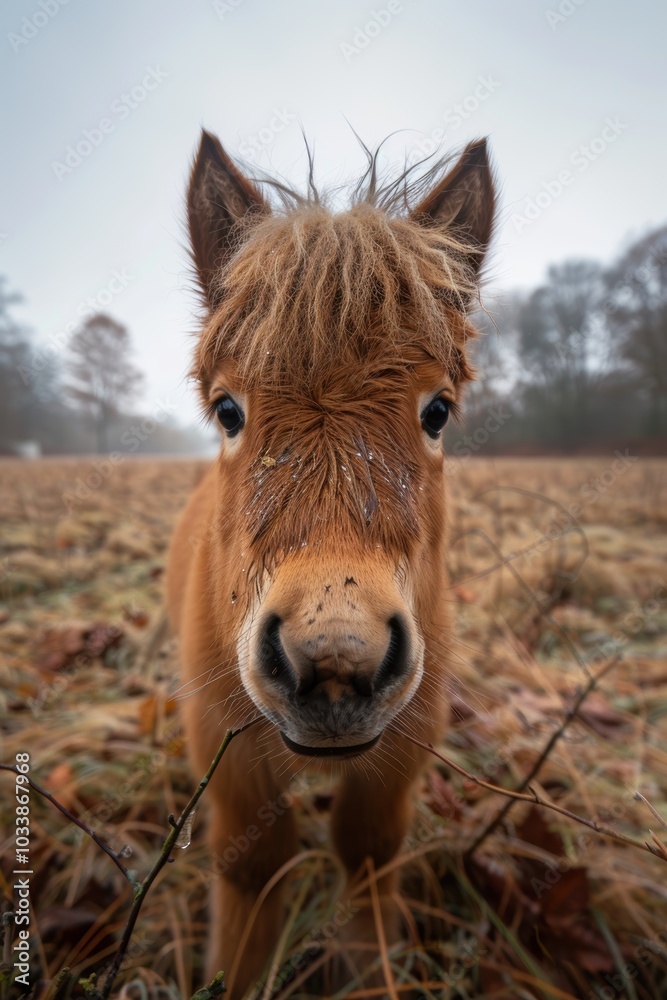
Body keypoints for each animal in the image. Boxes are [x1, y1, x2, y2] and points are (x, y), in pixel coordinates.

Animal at [166, 128, 496, 998]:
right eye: (228, 410)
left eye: (437, 411)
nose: (337, 662)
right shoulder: (227, 746)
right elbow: (253, 867)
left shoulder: (406, 738)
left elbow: (367, 848)